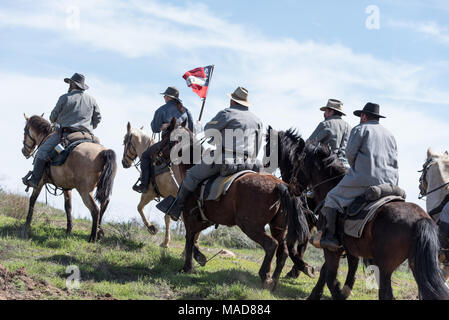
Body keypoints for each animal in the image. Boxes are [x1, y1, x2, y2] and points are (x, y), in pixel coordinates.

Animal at [156, 119, 310, 292]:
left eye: (166, 137)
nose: (156, 156)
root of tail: (280, 185)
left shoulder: (189, 218)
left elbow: (189, 239)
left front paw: (187, 267)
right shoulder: (205, 219)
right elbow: (193, 239)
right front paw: (200, 258)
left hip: (250, 226)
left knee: (271, 245)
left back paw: (265, 276)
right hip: (278, 228)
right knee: (282, 251)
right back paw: (274, 282)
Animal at [264, 125, 358, 298]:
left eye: (269, 146)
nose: (265, 163)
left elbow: (293, 246)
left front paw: (303, 268)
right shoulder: (309, 223)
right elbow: (301, 245)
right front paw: (297, 271)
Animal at [290, 142, 448, 300]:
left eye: (299, 163)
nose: (292, 185)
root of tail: (420, 219)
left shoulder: (332, 249)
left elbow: (330, 275)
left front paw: (337, 293)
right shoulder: (348, 248)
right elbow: (332, 271)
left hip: (385, 267)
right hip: (415, 265)